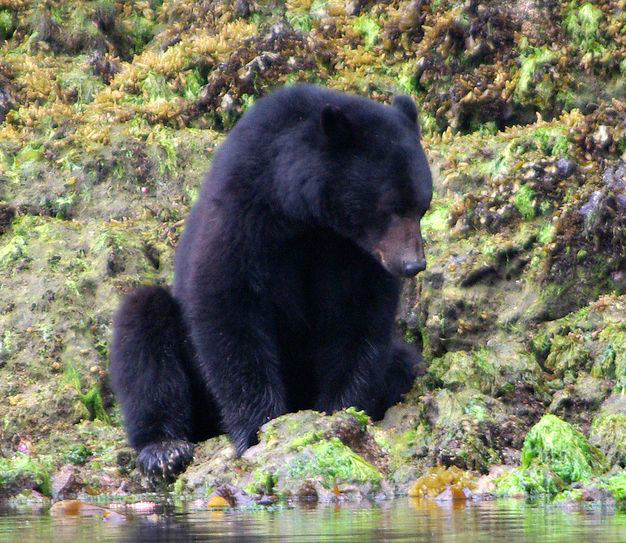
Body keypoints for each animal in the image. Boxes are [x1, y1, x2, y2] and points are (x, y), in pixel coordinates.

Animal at [109, 85, 432, 480]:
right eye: (392, 208)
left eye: (422, 206)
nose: (413, 264)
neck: (303, 214)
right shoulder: (244, 212)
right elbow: (228, 307)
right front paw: (260, 429)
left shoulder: (353, 254)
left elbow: (359, 321)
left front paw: (340, 414)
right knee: (143, 328)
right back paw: (164, 447)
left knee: (405, 361)